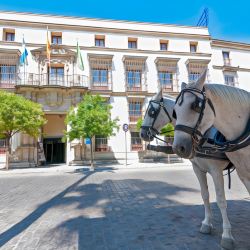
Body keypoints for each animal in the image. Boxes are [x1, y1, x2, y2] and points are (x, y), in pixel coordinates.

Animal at [141, 92, 236, 250]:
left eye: (151, 112)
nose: (142, 133)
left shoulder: (216, 171)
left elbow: (221, 200)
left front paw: (227, 235)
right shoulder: (198, 169)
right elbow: (205, 195)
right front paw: (206, 223)